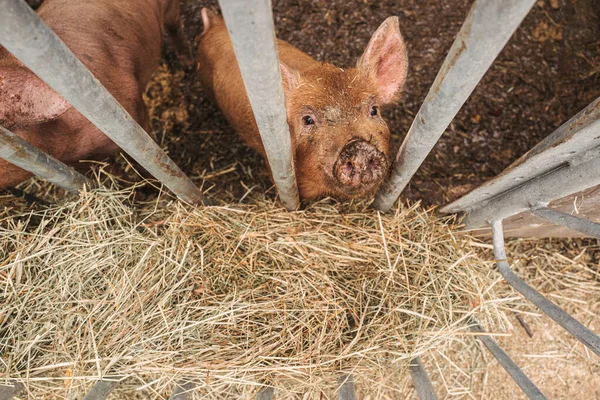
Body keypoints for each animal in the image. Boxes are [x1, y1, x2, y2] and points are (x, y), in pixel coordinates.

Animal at [0, 0, 192, 189]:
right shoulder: (80, 162)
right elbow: (112, 172)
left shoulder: (135, 117)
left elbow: (146, 160)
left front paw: (155, 187)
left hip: (169, 9)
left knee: (175, 25)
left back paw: (187, 63)